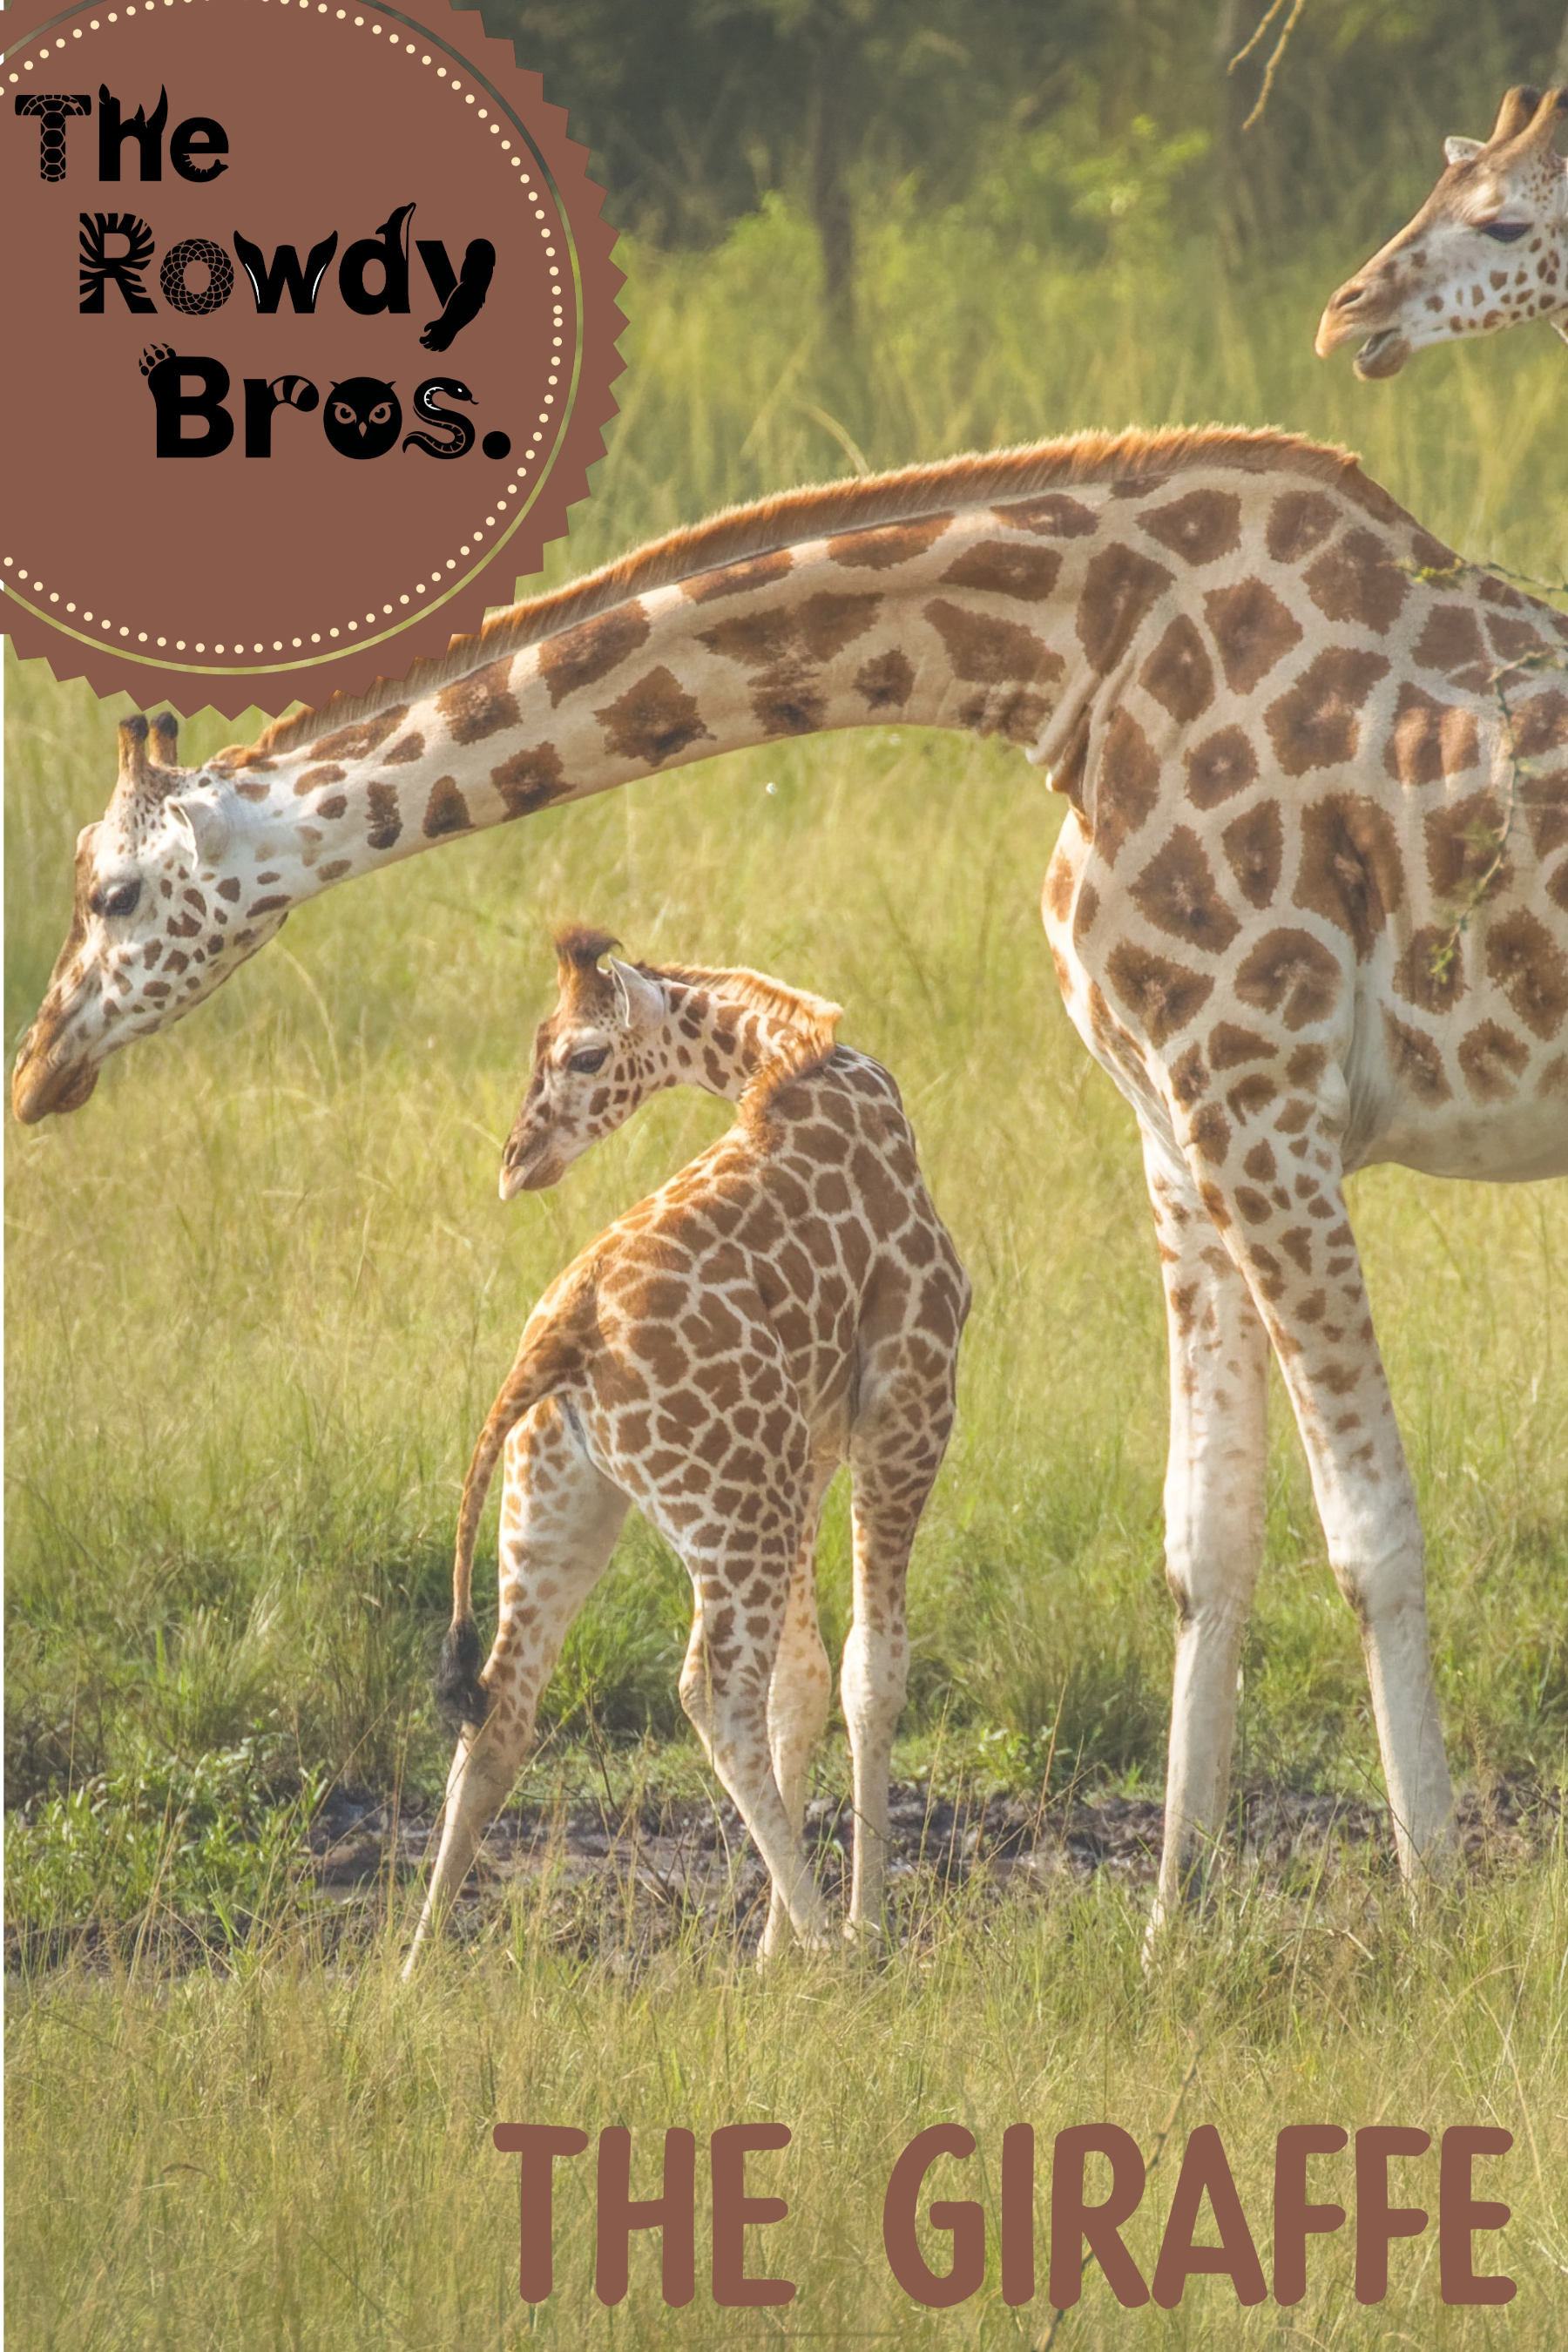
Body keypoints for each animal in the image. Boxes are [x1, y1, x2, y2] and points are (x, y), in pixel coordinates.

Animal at [404, 929, 969, 1968]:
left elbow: (805, 1682)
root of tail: (559, 1342)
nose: (516, 1161)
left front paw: (771, 1955)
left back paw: (416, 1967)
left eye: (582, 1054)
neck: (805, 1063)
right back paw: (832, 1947)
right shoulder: (906, 1400)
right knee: (713, 1696)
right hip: (734, 1506)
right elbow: (871, 1670)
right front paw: (859, 1929)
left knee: (501, 1710)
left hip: (562, 1507)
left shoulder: (809, 1447)